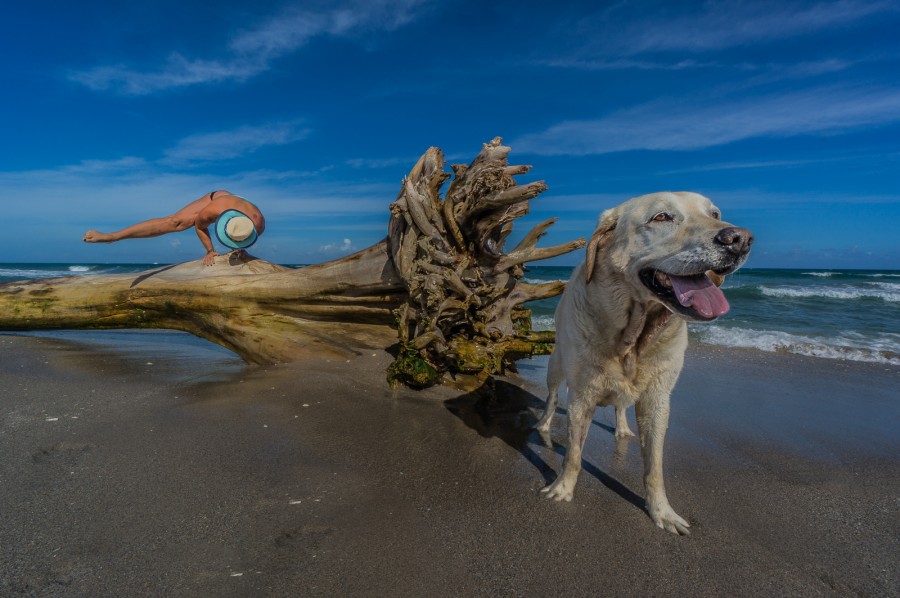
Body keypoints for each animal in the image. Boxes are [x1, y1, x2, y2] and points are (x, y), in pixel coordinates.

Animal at [536, 192, 752, 536]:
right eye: (661, 217)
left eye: (715, 214)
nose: (740, 239)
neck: (633, 335)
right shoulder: (582, 395)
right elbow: (573, 452)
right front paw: (563, 488)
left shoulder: (657, 399)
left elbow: (655, 465)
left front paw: (661, 511)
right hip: (556, 366)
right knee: (552, 395)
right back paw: (544, 422)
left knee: (621, 405)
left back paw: (623, 427)